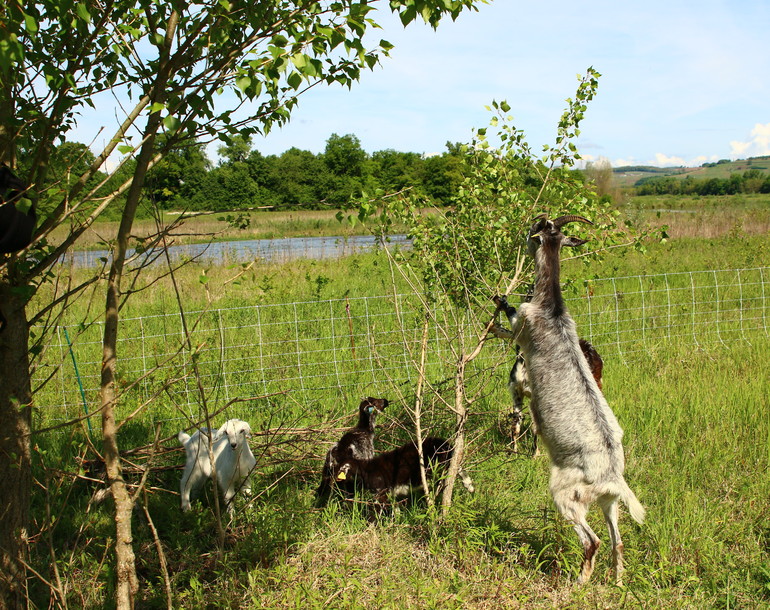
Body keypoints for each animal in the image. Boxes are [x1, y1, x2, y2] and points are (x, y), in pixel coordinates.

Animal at [488, 214, 644, 584]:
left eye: (537, 227)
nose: (526, 232)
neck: (552, 307)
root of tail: (611, 477)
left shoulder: (522, 326)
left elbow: (507, 325)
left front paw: (497, 305)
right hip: (609, 503)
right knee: (617, 540)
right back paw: (618, 582)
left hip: (566, 495)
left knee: (593, 541)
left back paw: (579, 582)